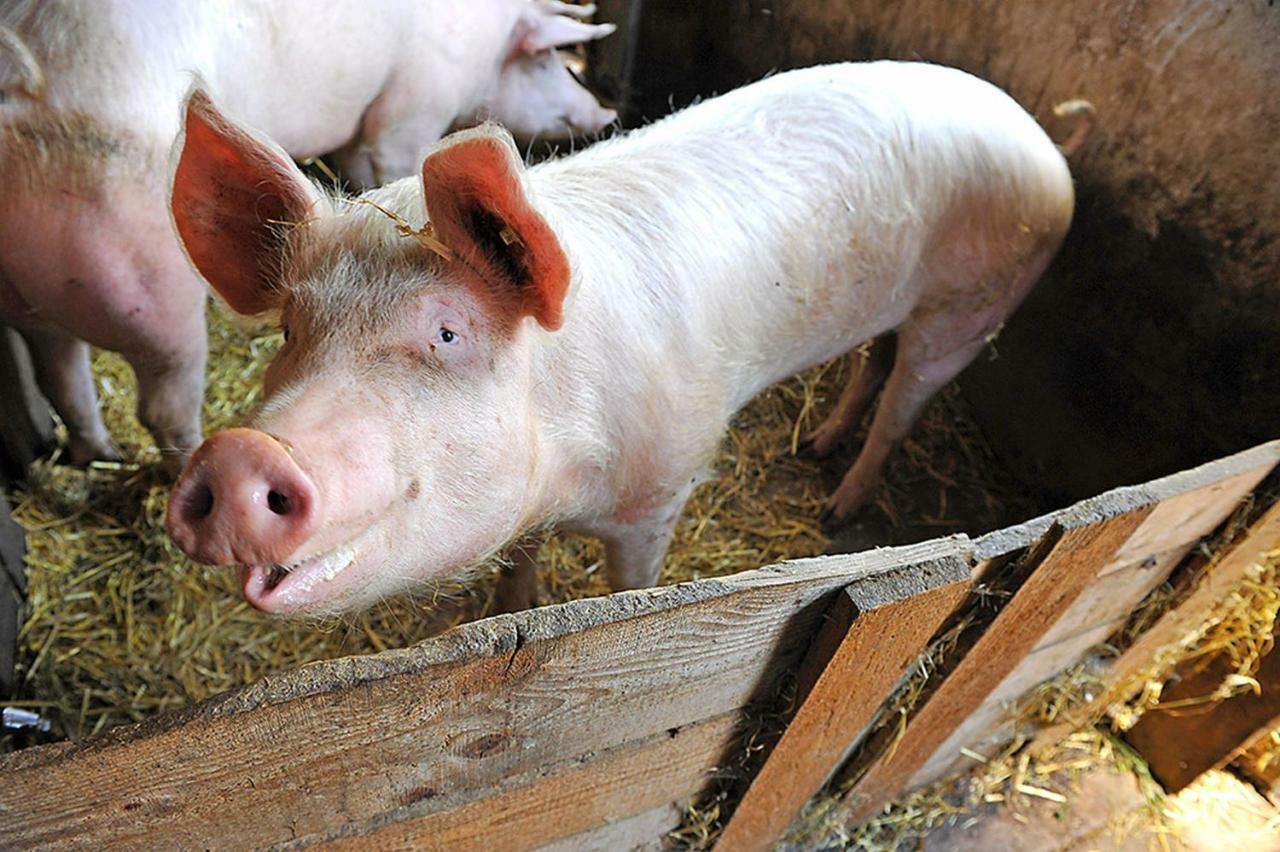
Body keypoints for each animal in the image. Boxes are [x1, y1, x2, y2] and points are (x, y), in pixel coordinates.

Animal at [0, 0, 619, 468]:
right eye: (547, 61)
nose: (606, 113)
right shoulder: (412, 106)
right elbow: (392, 155)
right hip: (150, 291)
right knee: (160, 404)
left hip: (38, 298)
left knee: (59, 370)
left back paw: (96, 455)